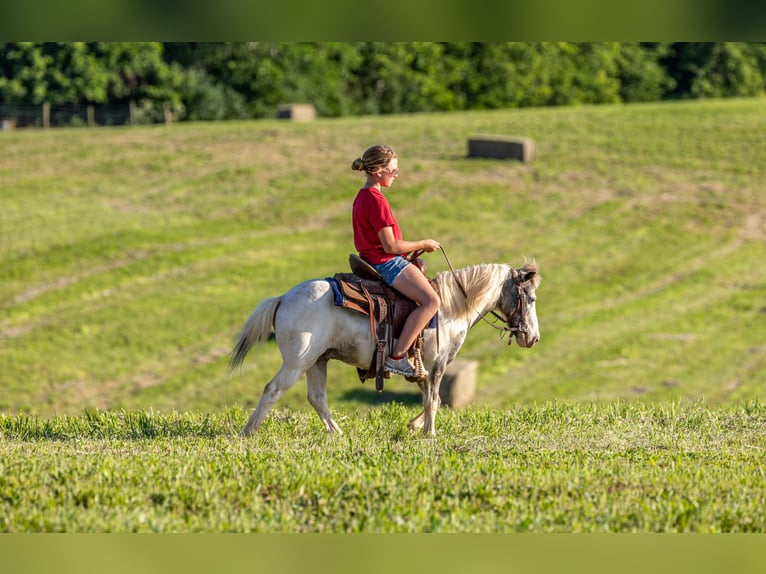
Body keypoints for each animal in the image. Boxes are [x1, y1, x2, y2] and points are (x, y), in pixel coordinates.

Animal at [229, 260, 541, 436]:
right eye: (531, 298)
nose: (534, 338)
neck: (452, 307)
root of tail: (283, 298)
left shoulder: (422, 368)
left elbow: (432, 399)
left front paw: (416, 427)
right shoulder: (439, 364)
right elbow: (434, 400)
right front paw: (430, 434)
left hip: (317, 361)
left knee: (317, 398)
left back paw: (337, 433)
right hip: (297, 362)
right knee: (272, 389)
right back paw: (248, 432)